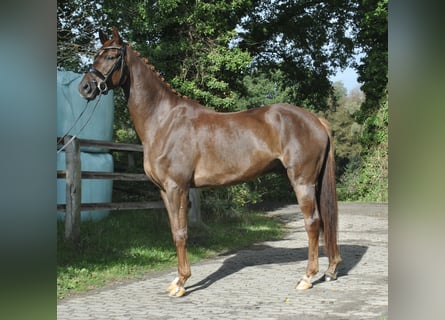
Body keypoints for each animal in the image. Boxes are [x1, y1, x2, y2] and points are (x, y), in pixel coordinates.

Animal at [79, 28, 340, 298]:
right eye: (96, 55)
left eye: (111, 56)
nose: (85, 87)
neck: (163, 121)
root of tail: (316, 121)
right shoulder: (164, 190)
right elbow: (174, 230)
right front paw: (177, 279)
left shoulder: (177, 188)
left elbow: (181, 233)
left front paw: (182, 283)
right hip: (314, 183)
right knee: (324, 222)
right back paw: (330, 270)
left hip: (302, 182)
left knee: (313, 223)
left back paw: (307, 277)